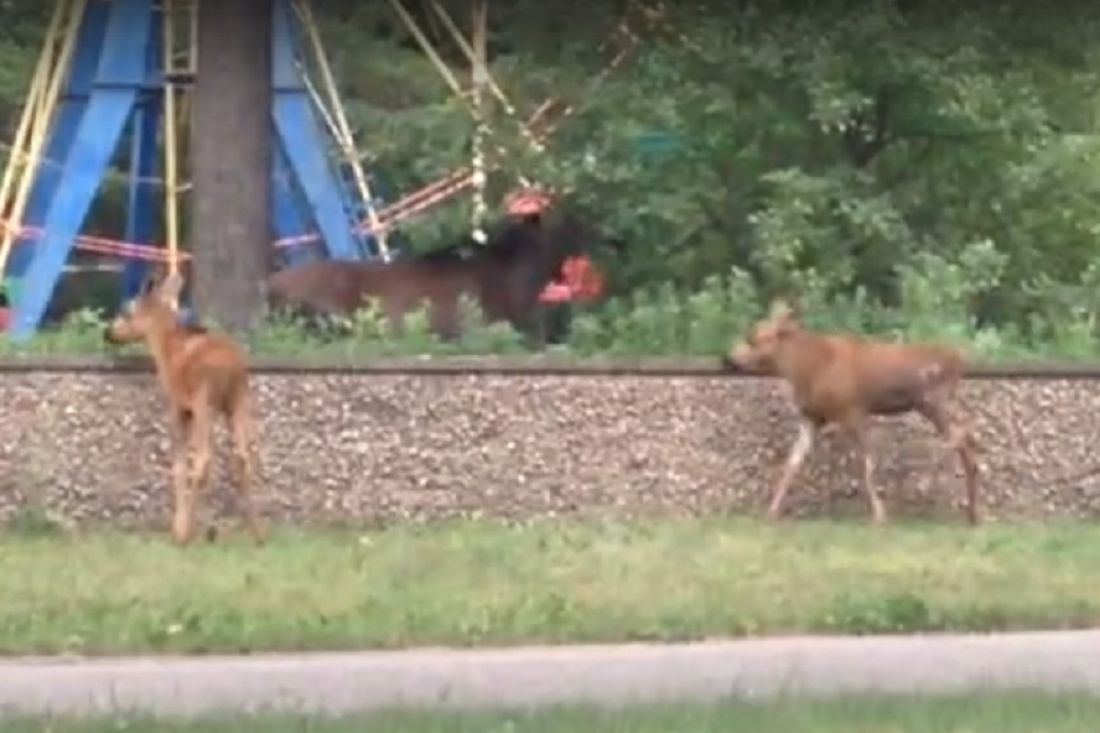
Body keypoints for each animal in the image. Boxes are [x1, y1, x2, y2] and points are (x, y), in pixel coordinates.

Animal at [103, 268, 266, 541]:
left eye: (126, 311)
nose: (108, 332)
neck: (166, 350)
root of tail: (232, 369)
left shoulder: (178, 406)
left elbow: (178, 464)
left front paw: (178, 526)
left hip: (205, 400)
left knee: (204, 460)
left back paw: (186, 534)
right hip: (238, 400)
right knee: (244, 457)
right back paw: (257, 533)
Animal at [730, 299, 981, 521]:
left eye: (753, 339)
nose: (731, 359)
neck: (806, 370)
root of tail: (961, 360)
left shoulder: (851, 411)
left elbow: (867, 461)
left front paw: (879, 514)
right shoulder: (812, 417)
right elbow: (794, 461)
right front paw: (771, 512)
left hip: (932, 400)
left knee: (961, 435)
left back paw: (924, 485)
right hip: (932, 404)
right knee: (966, 440)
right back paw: (972, 514)